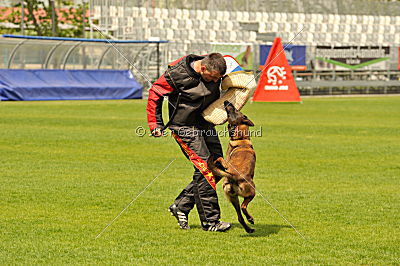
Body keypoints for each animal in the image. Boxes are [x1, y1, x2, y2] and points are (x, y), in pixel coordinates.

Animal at [206, 100, 256, 233]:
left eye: (235, 110)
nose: (226, 101)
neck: (241, 138)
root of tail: (233, 176)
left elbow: (220, 159)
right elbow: (220, 159)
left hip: (234, 198)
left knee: (240, 217)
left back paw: (249, 229)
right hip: (252, 192)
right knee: (244, 206)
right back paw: (251, 219)